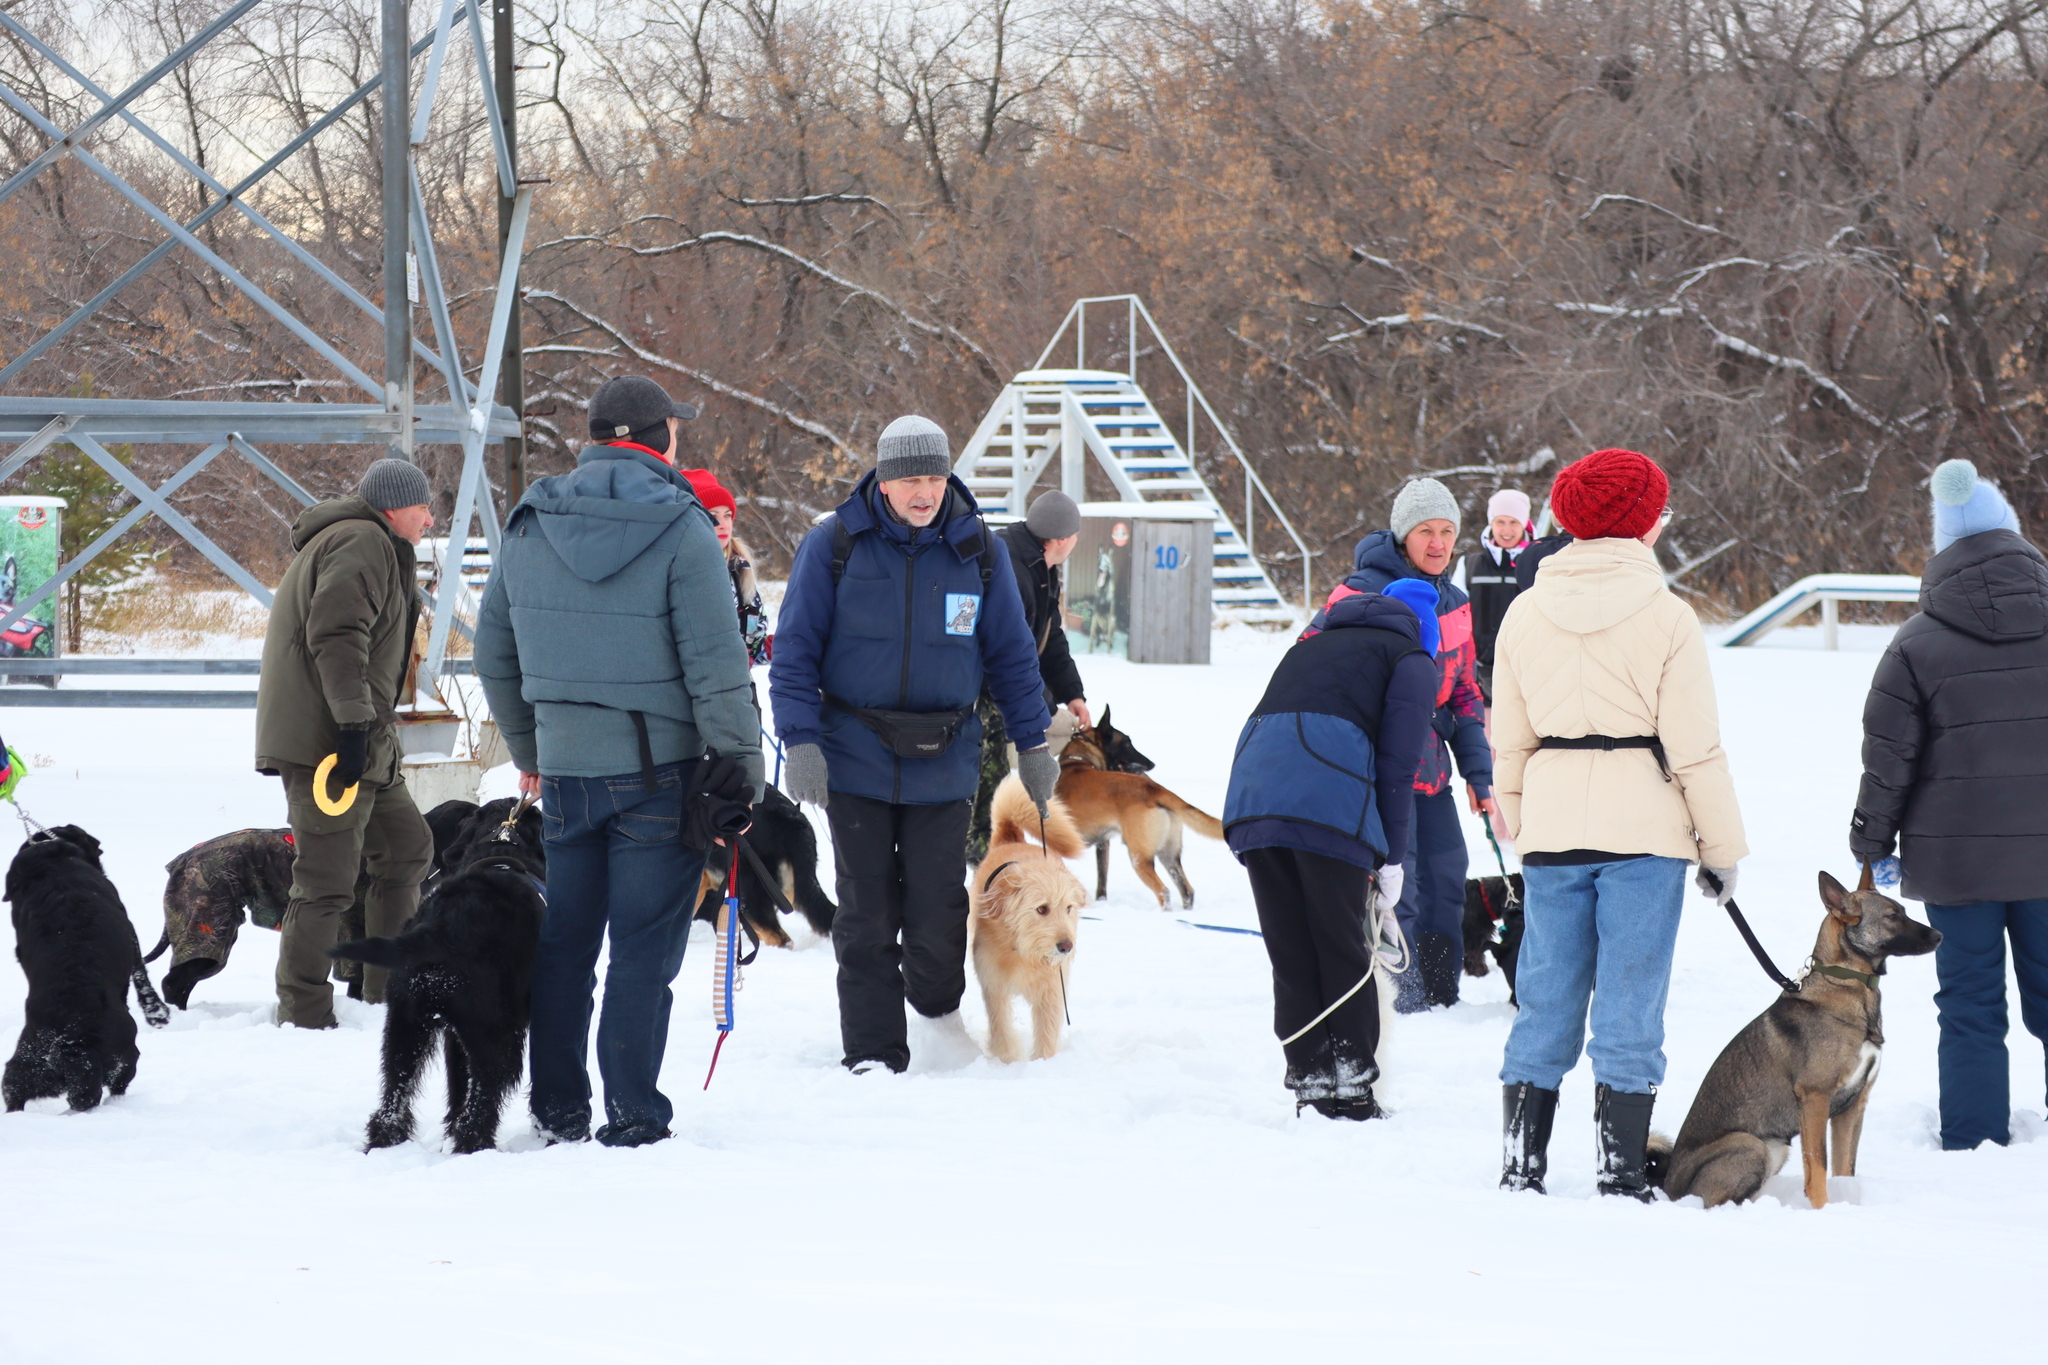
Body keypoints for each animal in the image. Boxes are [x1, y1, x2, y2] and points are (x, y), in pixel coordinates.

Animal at [4, 826, 169, 1113]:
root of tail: (72, 1039)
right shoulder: (130, 932)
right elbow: (141, 973)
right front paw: (157, 1013)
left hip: (24, 1065)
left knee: (16, 1091)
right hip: (124, 1056)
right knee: (112, 1088)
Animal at [331, 802, 548, 1154]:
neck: (501, 849)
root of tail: (439, 930)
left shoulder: (452, 1036)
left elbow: (457, 1084)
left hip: (404, 1028)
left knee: (393, 1100)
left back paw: (386, 1141)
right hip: (495, 1036)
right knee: (482, 1101)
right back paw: (478, 1146)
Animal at [970, 773, 1089, 1064]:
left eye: (1068, 908)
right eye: (1042, 909)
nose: (1066, 947)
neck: (1023, 950)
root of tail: (1010, 839)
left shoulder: (1052, 990)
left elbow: (1046, 1031)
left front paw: (1042, 1064)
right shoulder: (993, 984)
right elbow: (1000, 1026)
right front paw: (1007, 1060)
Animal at [1056, 712, 1212, 912]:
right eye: (1127, 743)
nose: (1151, 764)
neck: (1076, 762)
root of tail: (1155, 789)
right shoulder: (1103, 844)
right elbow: (1101, 883)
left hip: (1139, 857)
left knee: (1163, 891)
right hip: (1169, 854)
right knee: (1187, 891)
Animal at [1654, 871, 1941, 1211]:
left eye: (1903, 911)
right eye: (1892, 916)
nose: (1939, 935)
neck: (1846, 983)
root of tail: (1668, 1187)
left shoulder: (1853, 1106)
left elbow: (1845, 1168)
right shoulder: (1815, 1097)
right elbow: (1817, 1166)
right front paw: (1822, 1210)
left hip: (1775, 1148)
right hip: (1751, 1144)